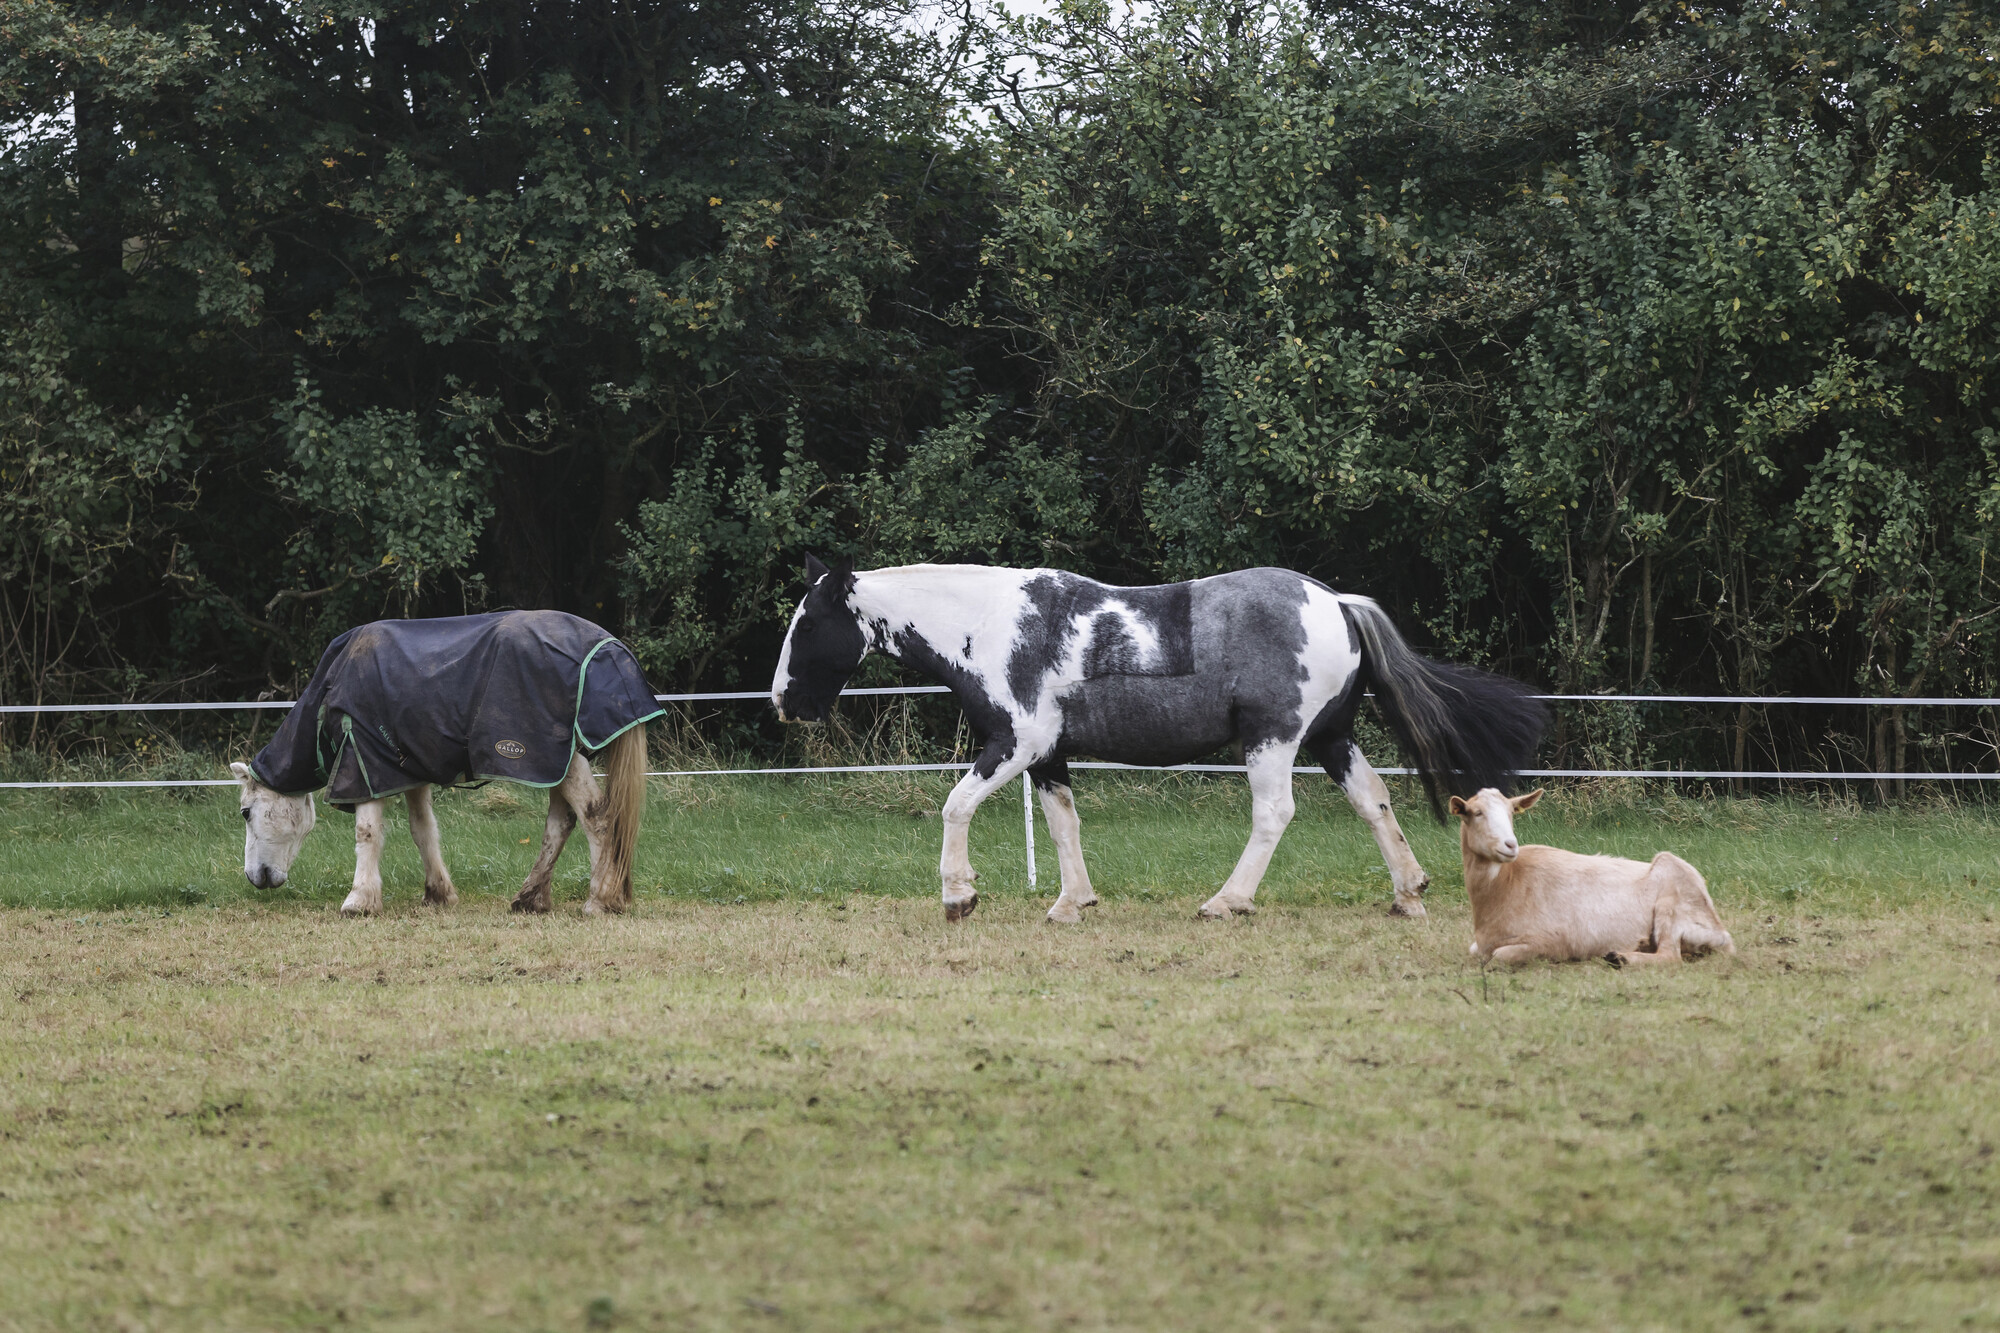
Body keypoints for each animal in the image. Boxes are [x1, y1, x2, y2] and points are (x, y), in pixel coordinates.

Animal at [232, 609, 661, 917]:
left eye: (246, 812)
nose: (254, 877)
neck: (335, 685)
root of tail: (608, 648)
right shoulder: (407, 770)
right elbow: (423, 831)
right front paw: (438, 893)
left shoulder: (364, 762)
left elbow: (367, 832)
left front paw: (359, 901)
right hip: (554, 762)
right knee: (561, 823)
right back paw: (530, 898)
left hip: (555, 759)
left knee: (596, 817)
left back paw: (600, 899)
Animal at [772, 557, 1547, 922]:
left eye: (809, 621)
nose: (782, 700)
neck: (990, 626)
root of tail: (1335, 601)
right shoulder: (1048, 756)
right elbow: (1063, 825)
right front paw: (1072, 902)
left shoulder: (1016, 743)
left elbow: (955, 806)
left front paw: (959, 896)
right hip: (1332, 738)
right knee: (1374, 801)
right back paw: (1408, 891)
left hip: (1272, 738)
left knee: (1275, 814)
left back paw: (1226, 901)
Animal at [1451, 788, 1735, 966]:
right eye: (1476, 813)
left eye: (1511, 813)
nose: (1510, 845)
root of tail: (1721, 932)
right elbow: (1476, 952)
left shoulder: (1552, 942)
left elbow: (1498, 957)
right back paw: (1639, 945)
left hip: (1672, 896)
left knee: (1670, 956)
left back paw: (1621, 958)